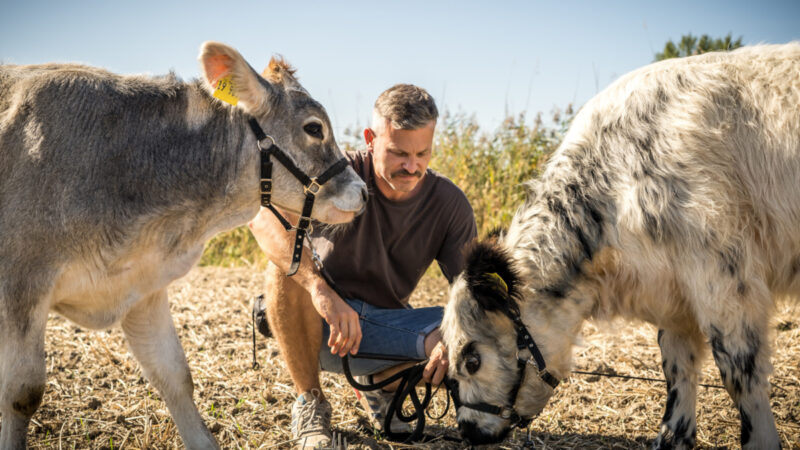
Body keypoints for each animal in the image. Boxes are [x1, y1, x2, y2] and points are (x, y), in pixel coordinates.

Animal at [0, 40, 368, 448]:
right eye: (314, 128)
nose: (363, 191)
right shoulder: (22, 284)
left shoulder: (142, 288)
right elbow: (21, 392)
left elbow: (176, 377)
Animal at [440, 43, 796, 450]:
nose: (468, 429)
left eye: (472, 360)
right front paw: (671, 437)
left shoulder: (725, 276)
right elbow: (678, 365)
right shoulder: (677, 297)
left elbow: (739, 370)